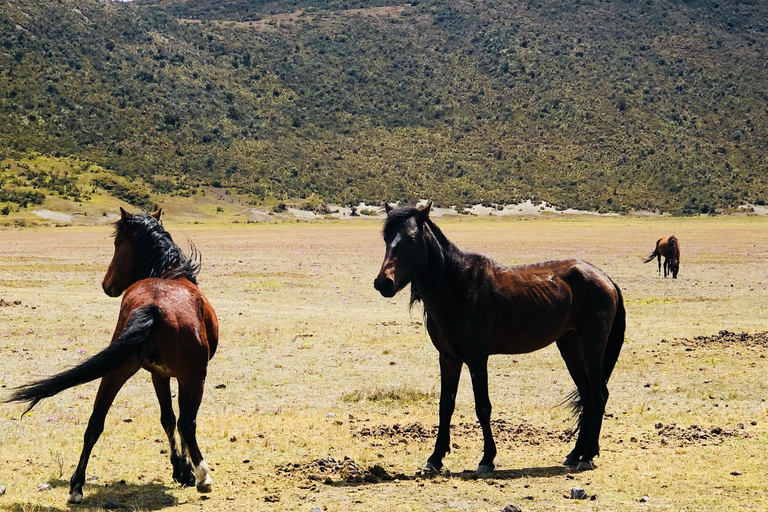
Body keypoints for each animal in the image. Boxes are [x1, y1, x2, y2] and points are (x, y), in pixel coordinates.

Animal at [5, 209, 219, 504]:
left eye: (118, 245)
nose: (106, 284)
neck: (171, 273)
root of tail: (153, 306)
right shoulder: (180, 377)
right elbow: (178, 420)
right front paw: (185, 471)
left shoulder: (159, 374)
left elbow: (167, 417)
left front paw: (180, 470)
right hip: (194, 377)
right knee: (188, 423)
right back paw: (203, 477)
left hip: (117, 370)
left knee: (95, 422)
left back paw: (76, 487)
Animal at [374, 202, 624, 474]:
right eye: (386, 238)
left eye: (410, 239)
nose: (383, 283)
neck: (457, 288)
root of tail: (604, 278)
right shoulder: (448, 358)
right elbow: (445, 406)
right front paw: (435, 458)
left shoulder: (477, 358)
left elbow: (483, 406)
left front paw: (487, 459)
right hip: (570, 346)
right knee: (588, 396)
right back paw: (575, 454)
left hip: (592, 346)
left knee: (599, 395)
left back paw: (587, 456)